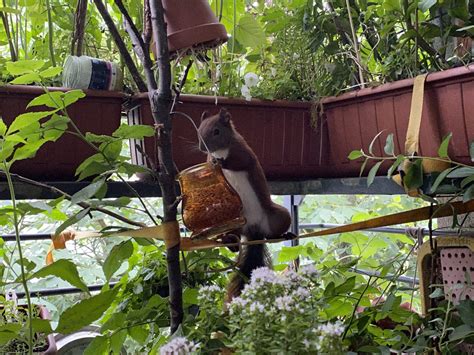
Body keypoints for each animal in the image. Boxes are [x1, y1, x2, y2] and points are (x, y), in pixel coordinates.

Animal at [197, 108, 292, 300]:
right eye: (199, 129)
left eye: (216, 131)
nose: (202, 147)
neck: (221, 150)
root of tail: (254, 230)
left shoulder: (244, 152)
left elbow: (240, 162)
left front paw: (221, 163)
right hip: (233, 223)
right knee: (234, 240)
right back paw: (229, 242)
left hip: (277, 216)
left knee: (273, 234)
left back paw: (284, 235)